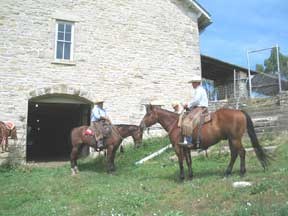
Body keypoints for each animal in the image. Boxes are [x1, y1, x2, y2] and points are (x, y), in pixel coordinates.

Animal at [140, 105, 270, 181]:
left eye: (148, 114)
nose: (141, 125)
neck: (175, 124)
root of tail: (239, 111)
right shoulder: (186, 148)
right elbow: (189, 161)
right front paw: (191, 176)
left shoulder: (177, 148)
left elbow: (181, 162)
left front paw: (182, 177)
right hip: (231, 140)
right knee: (234, 154)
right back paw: (227, 172)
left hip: (235, 139)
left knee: (241, 152)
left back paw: (242, 172)